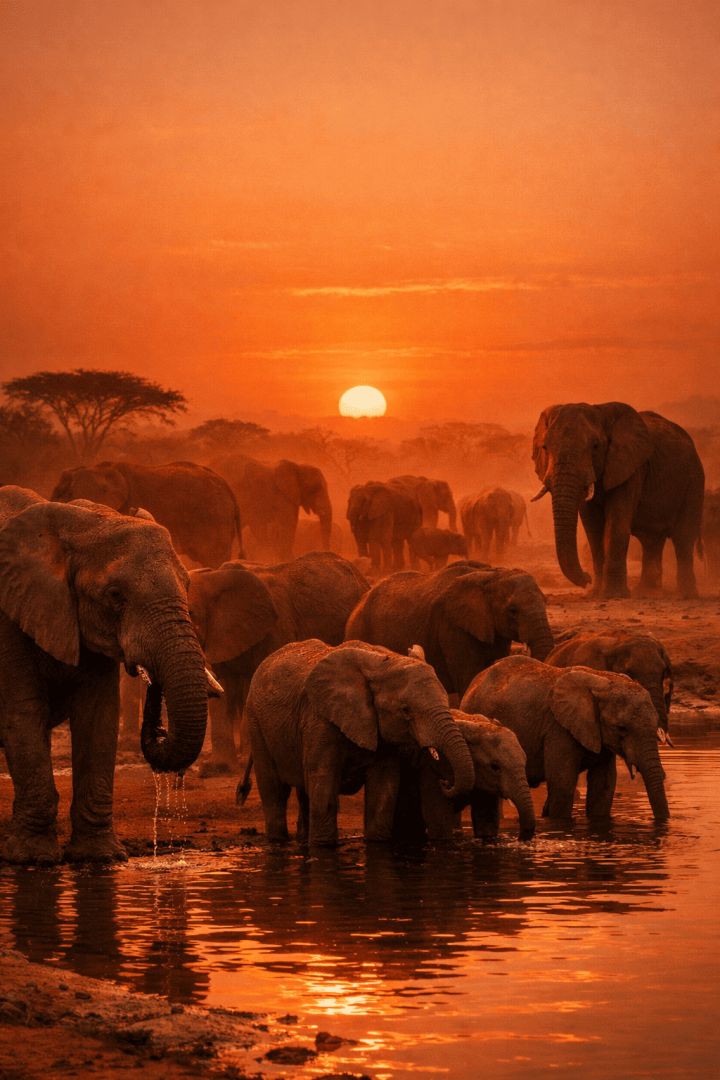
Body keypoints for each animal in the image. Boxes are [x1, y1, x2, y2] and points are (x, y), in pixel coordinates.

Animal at [0, 486, 212, 864]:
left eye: (187, 585)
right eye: (115, 596)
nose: (159, 726)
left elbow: (98, 716)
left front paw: (100, 857)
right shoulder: (7, 620)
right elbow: (23, 714)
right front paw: (32, 858)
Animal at [246, 638, 475, 846]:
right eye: (406, 710)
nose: (445, 782)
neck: (384, 661)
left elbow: (383, 791)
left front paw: (376, 843)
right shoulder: (319, 719)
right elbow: (323, 782)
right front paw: (323, 846)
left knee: (302, 792)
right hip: (256, 723)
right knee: (275, 791)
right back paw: (278, 842)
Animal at [345, 561, 554, 698]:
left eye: (545, 601)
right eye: (513, 610)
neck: (491, 574)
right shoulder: (452, 628)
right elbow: (468, 676)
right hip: (360, 629)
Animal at [532, 402, 705, 598]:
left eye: (595, 446)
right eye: (545, 447)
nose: (586, 578)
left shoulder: (630, 468)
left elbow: (616, 524)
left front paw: (613, 595)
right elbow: (593, 529)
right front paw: (595, 594)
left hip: (694, 481)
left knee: (684, 538)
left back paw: (686, 595)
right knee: (652, 541)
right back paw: (646, 592)